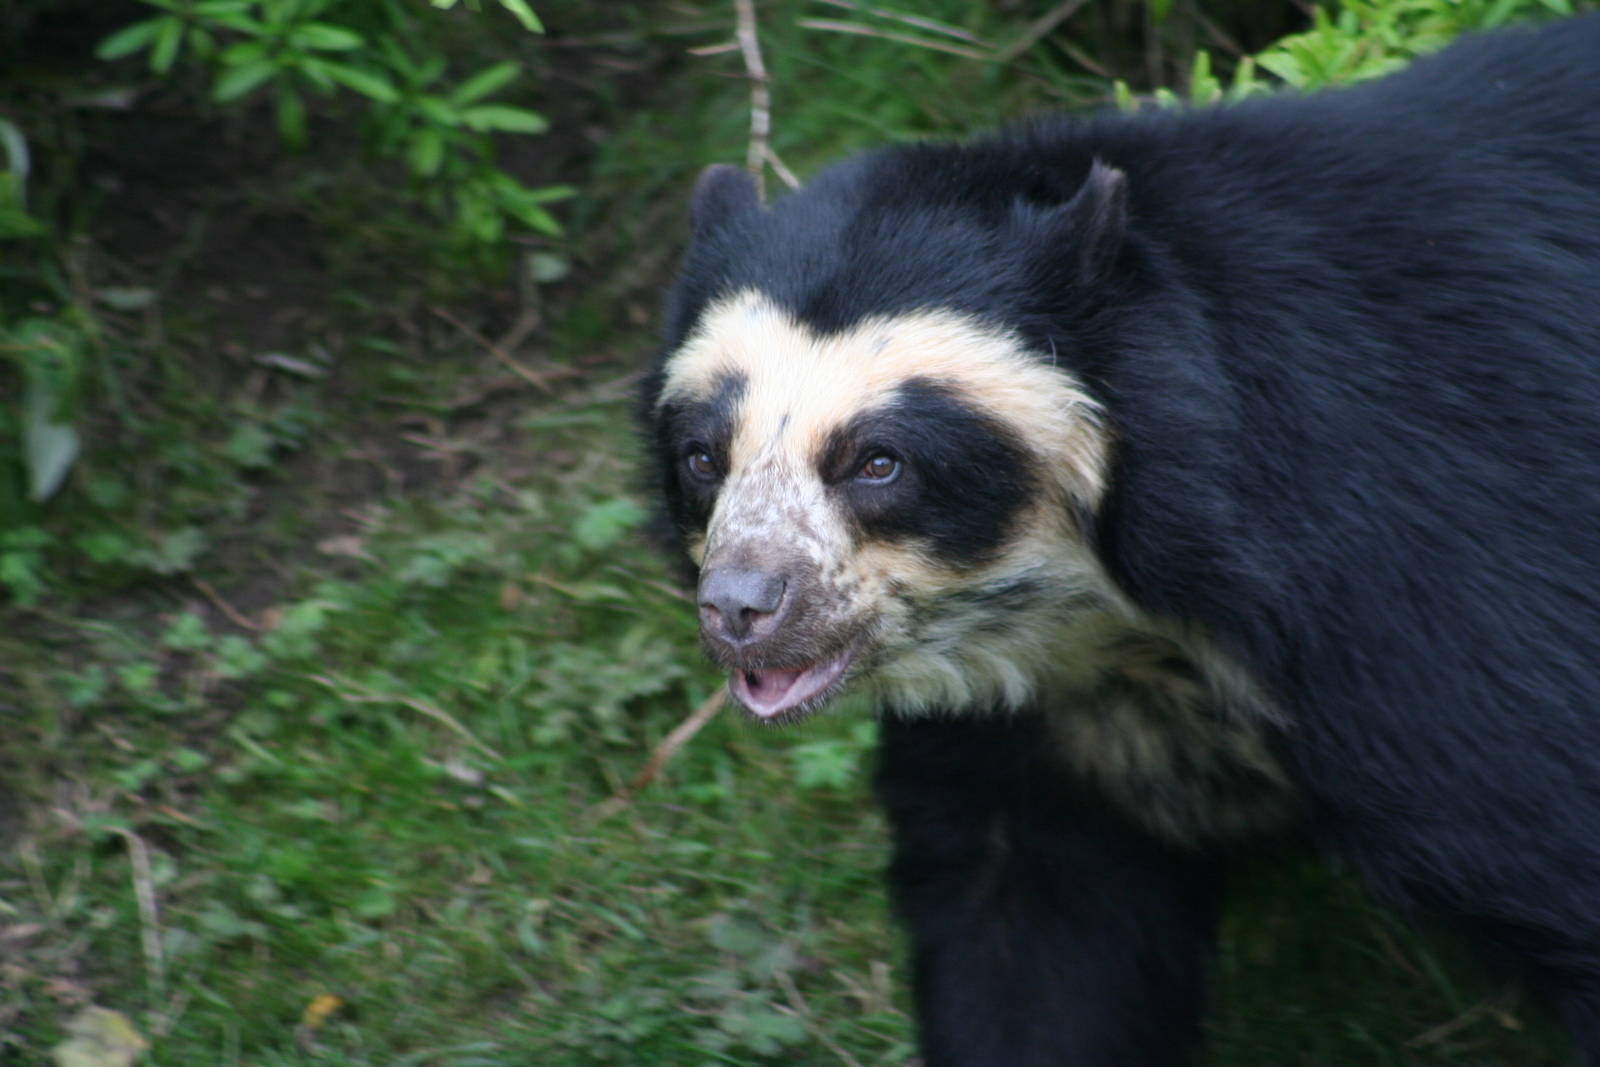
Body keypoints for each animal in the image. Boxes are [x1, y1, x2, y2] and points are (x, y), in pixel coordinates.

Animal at [640, 15, 1600, 1066]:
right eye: (703, 456)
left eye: (879, 462)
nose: (740, 607)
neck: (1108, 605)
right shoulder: (1030, 726)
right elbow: (1033, 938)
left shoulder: (1423, 560)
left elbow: (1541, 823)